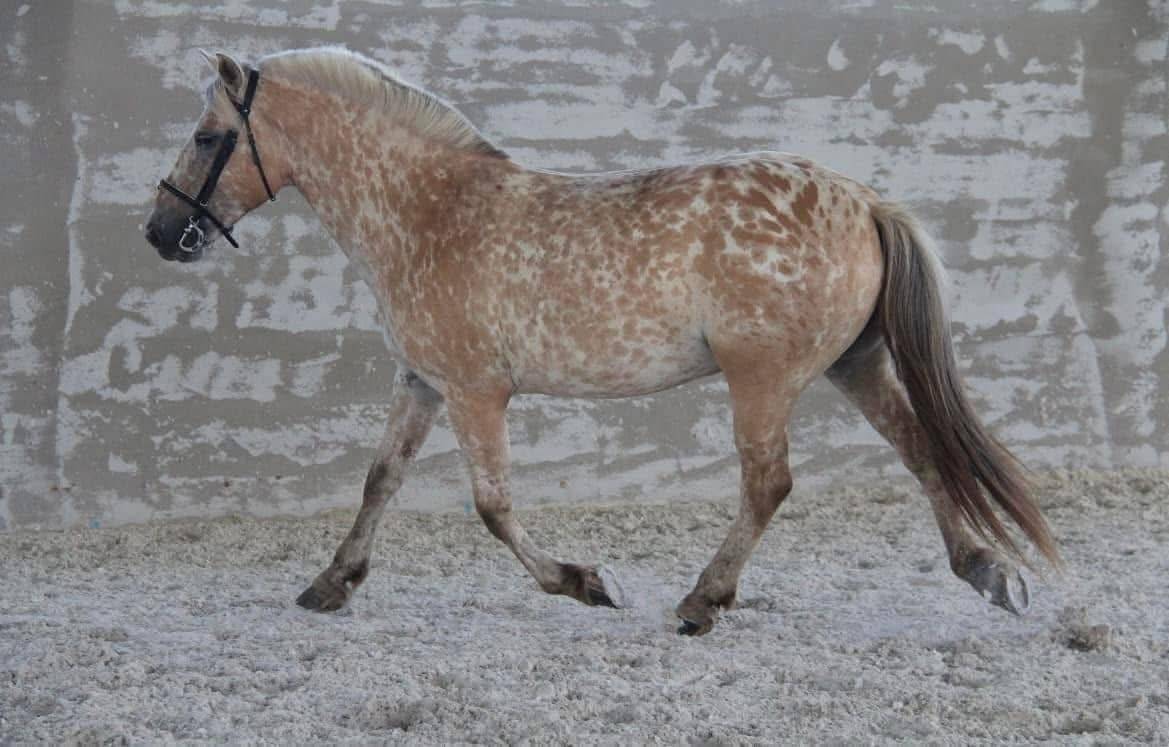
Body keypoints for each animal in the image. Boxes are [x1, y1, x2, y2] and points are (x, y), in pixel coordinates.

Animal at [145, 47, 1059, 636]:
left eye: (204, 136)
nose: (160, 233)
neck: (426, 210)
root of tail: (865, 200)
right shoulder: (423, 382)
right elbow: (379, 481)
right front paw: (330, 582)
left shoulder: (476, 391)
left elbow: (493, 507)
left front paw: (588, 583)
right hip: (853, 362)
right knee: (921, 449)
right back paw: (988, 571)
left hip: (763, 378)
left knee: (768, 484)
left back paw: (700, 602)